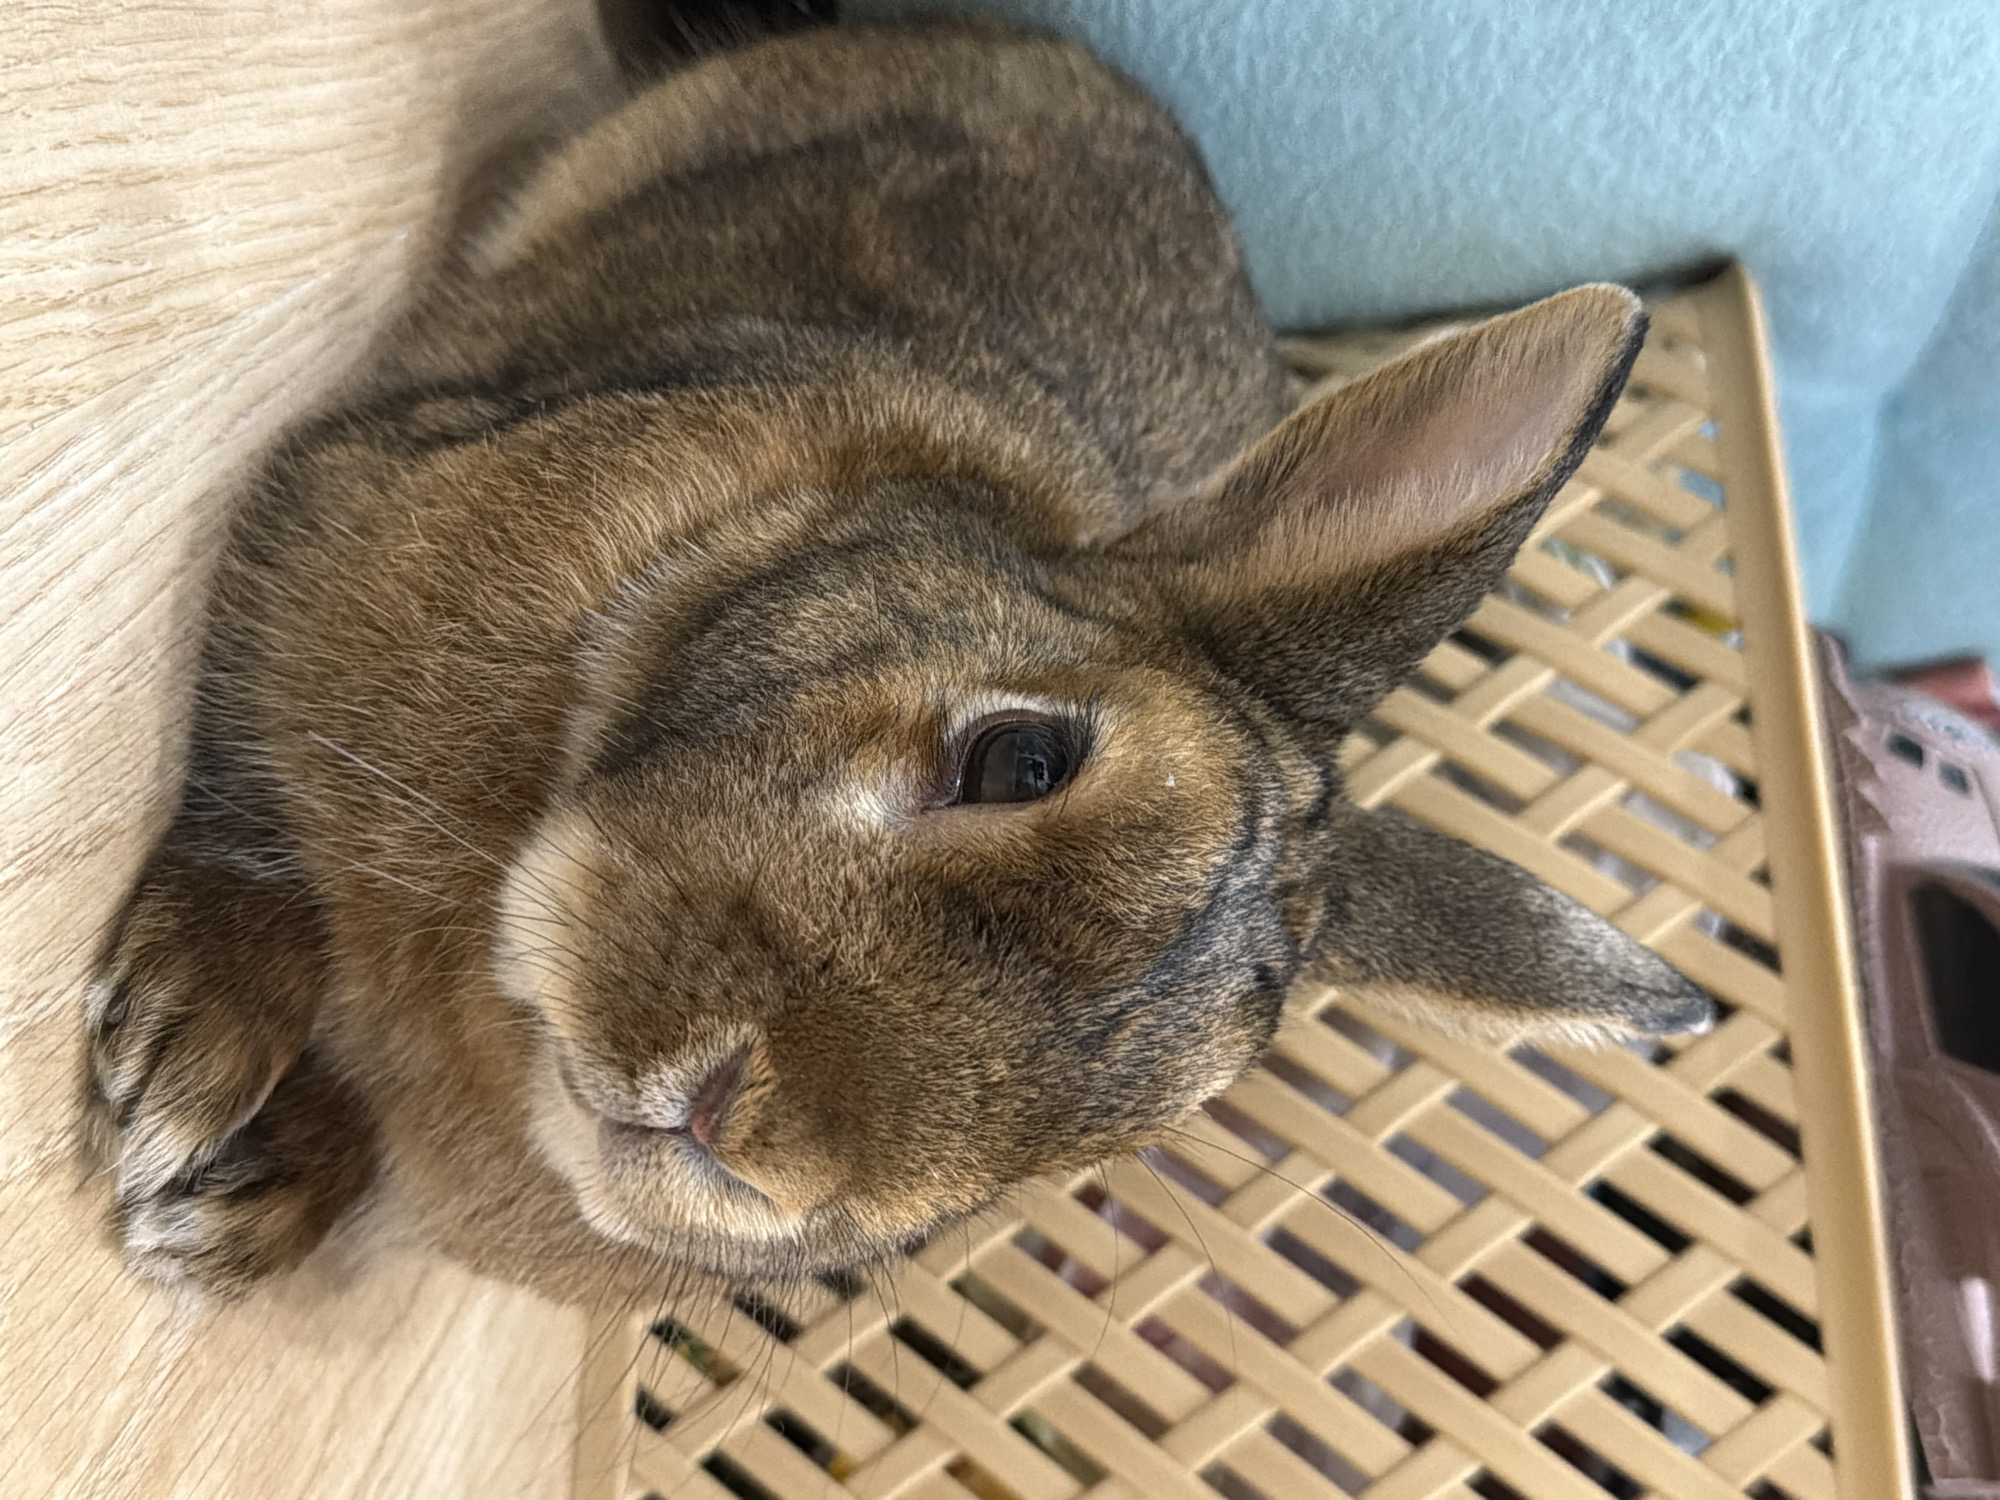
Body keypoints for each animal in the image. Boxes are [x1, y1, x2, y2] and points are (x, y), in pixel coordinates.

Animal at [81, 22, 1711, 1304]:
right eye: (1021, 756)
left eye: (1121, 1134)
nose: (737, 1137)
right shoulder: (325, 511)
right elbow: (247, 810)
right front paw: (180, 1068)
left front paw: (238, 1207)